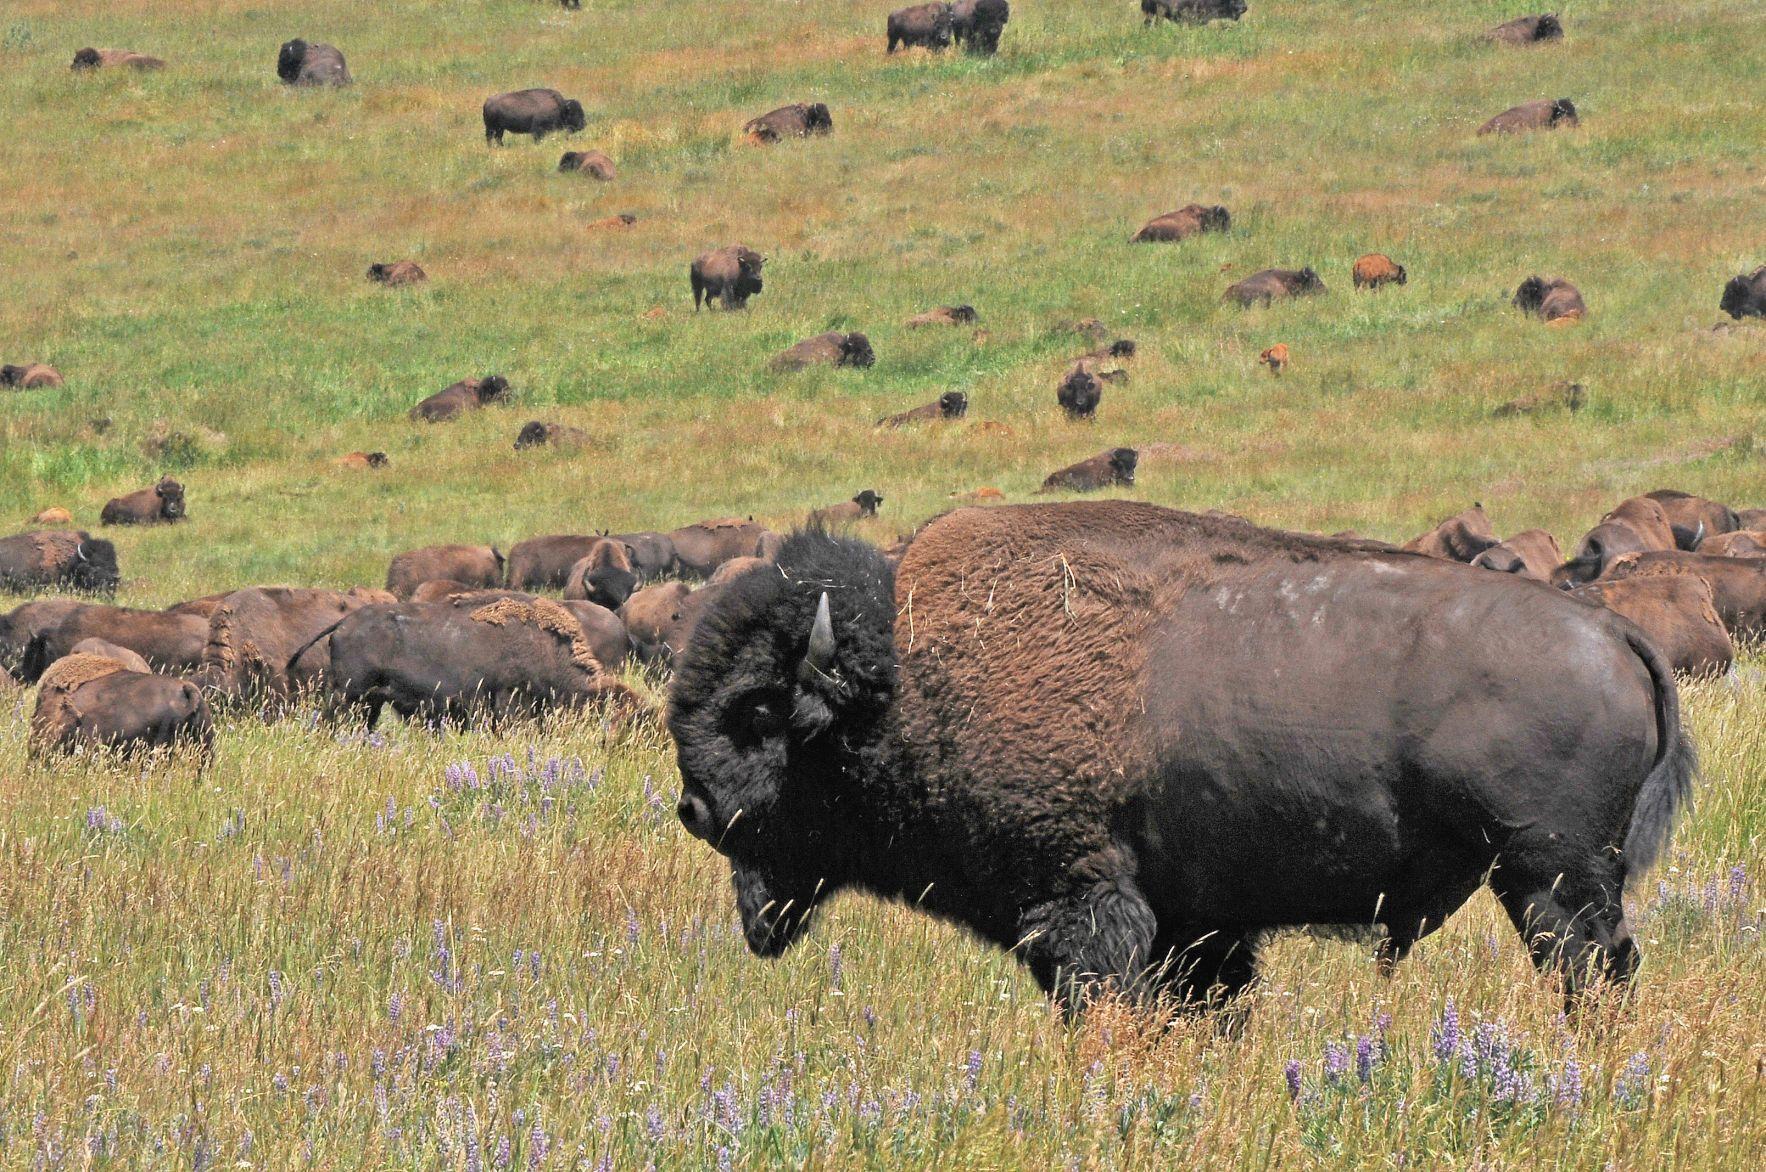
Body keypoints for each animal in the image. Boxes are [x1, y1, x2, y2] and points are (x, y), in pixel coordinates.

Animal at [668, 504, 1691, 1011]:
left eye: (758, 707)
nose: (694, 808)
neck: (905, 676)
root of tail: (1612, 632)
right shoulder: (1197, 931)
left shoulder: (1084, 910)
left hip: (1549, 878)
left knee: (1593, 974)